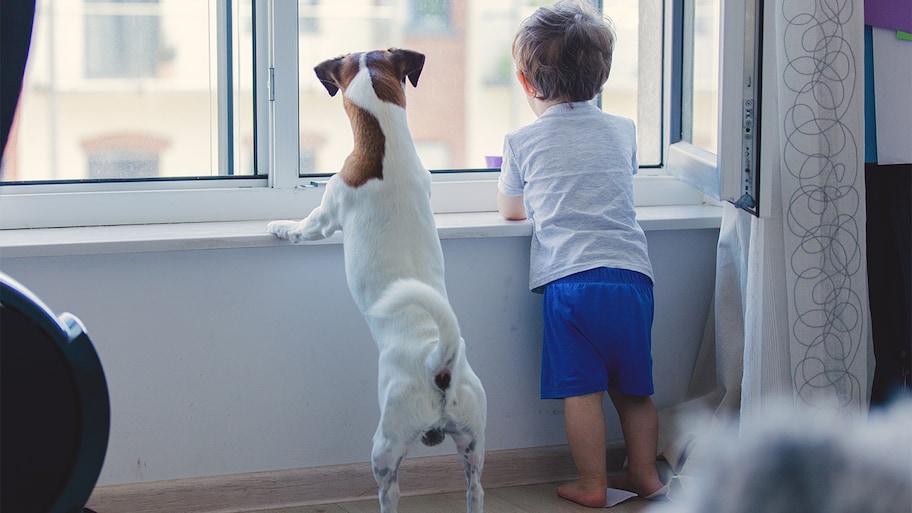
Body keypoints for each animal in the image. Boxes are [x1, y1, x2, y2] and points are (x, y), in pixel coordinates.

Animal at [268, 49, 488, 512]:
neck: (387, 149)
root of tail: (439, 365)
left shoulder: (326, 214)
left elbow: (302, 227)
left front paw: (279, 226)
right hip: (473, 440)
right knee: (476, 488)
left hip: (386, 445)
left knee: (392, 490)